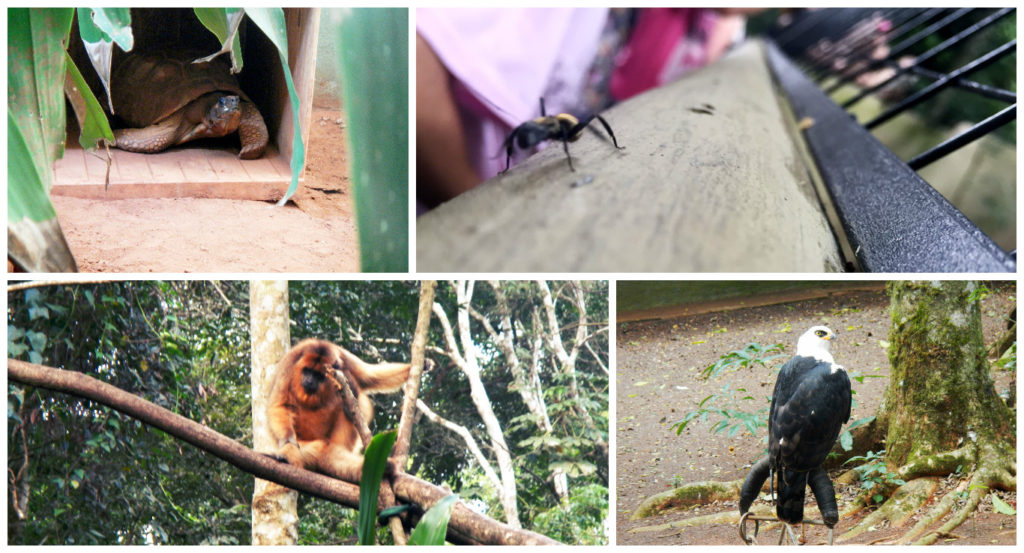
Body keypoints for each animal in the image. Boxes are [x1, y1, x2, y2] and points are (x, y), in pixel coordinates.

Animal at [266, 337, 413, 483]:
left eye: (318, 376)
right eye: (307, 371)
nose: (309, 381)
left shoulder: (344, 358)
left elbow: (371, 376)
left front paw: (413, 368)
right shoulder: (289, 365)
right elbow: (279, 405)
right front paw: (288, 440)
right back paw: (285, 457)